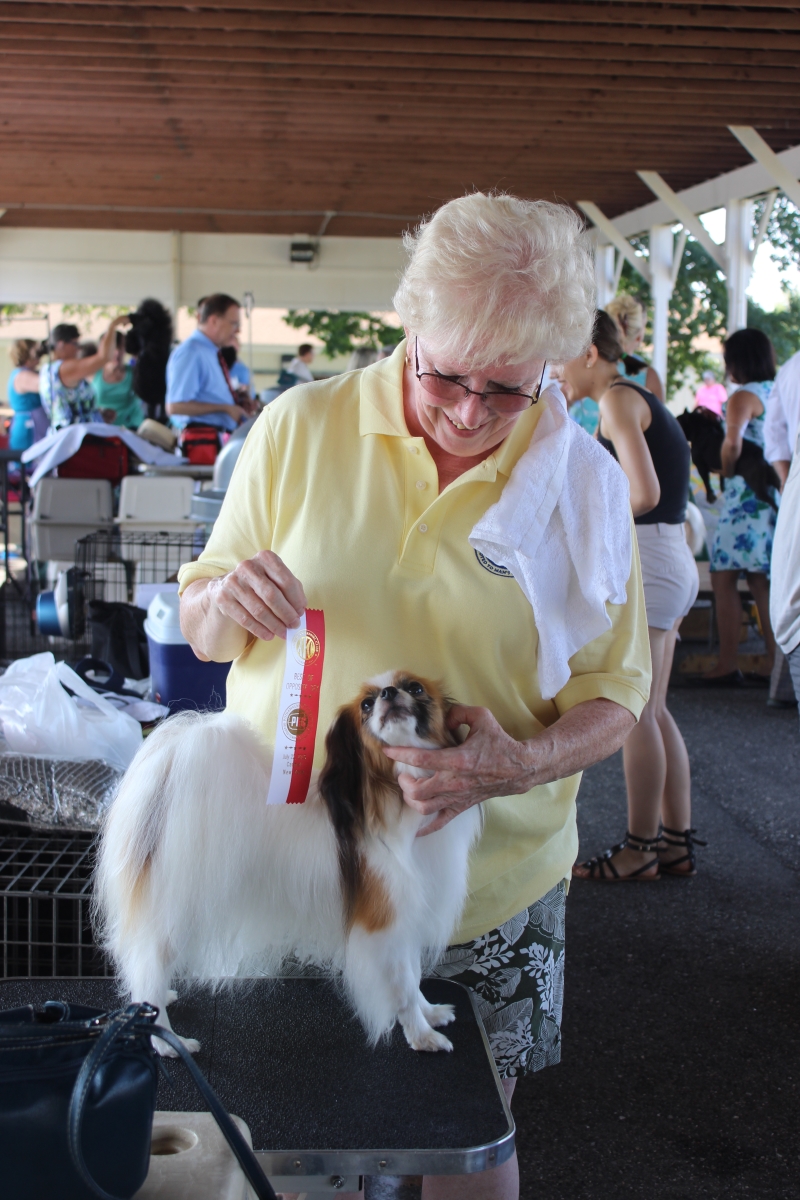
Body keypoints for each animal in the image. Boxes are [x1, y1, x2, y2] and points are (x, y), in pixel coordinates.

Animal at [94, 672, 482, 1056]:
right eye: (366, 706)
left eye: (415, 688)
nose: (389, 693)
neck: (395, 792)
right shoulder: (385, 923)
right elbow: (402, 989)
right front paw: (422, 1035)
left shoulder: (409, 920)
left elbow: (414, 979)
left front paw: (430, 1013)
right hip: (176, 909)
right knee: (148, 965)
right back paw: (165, 1039)